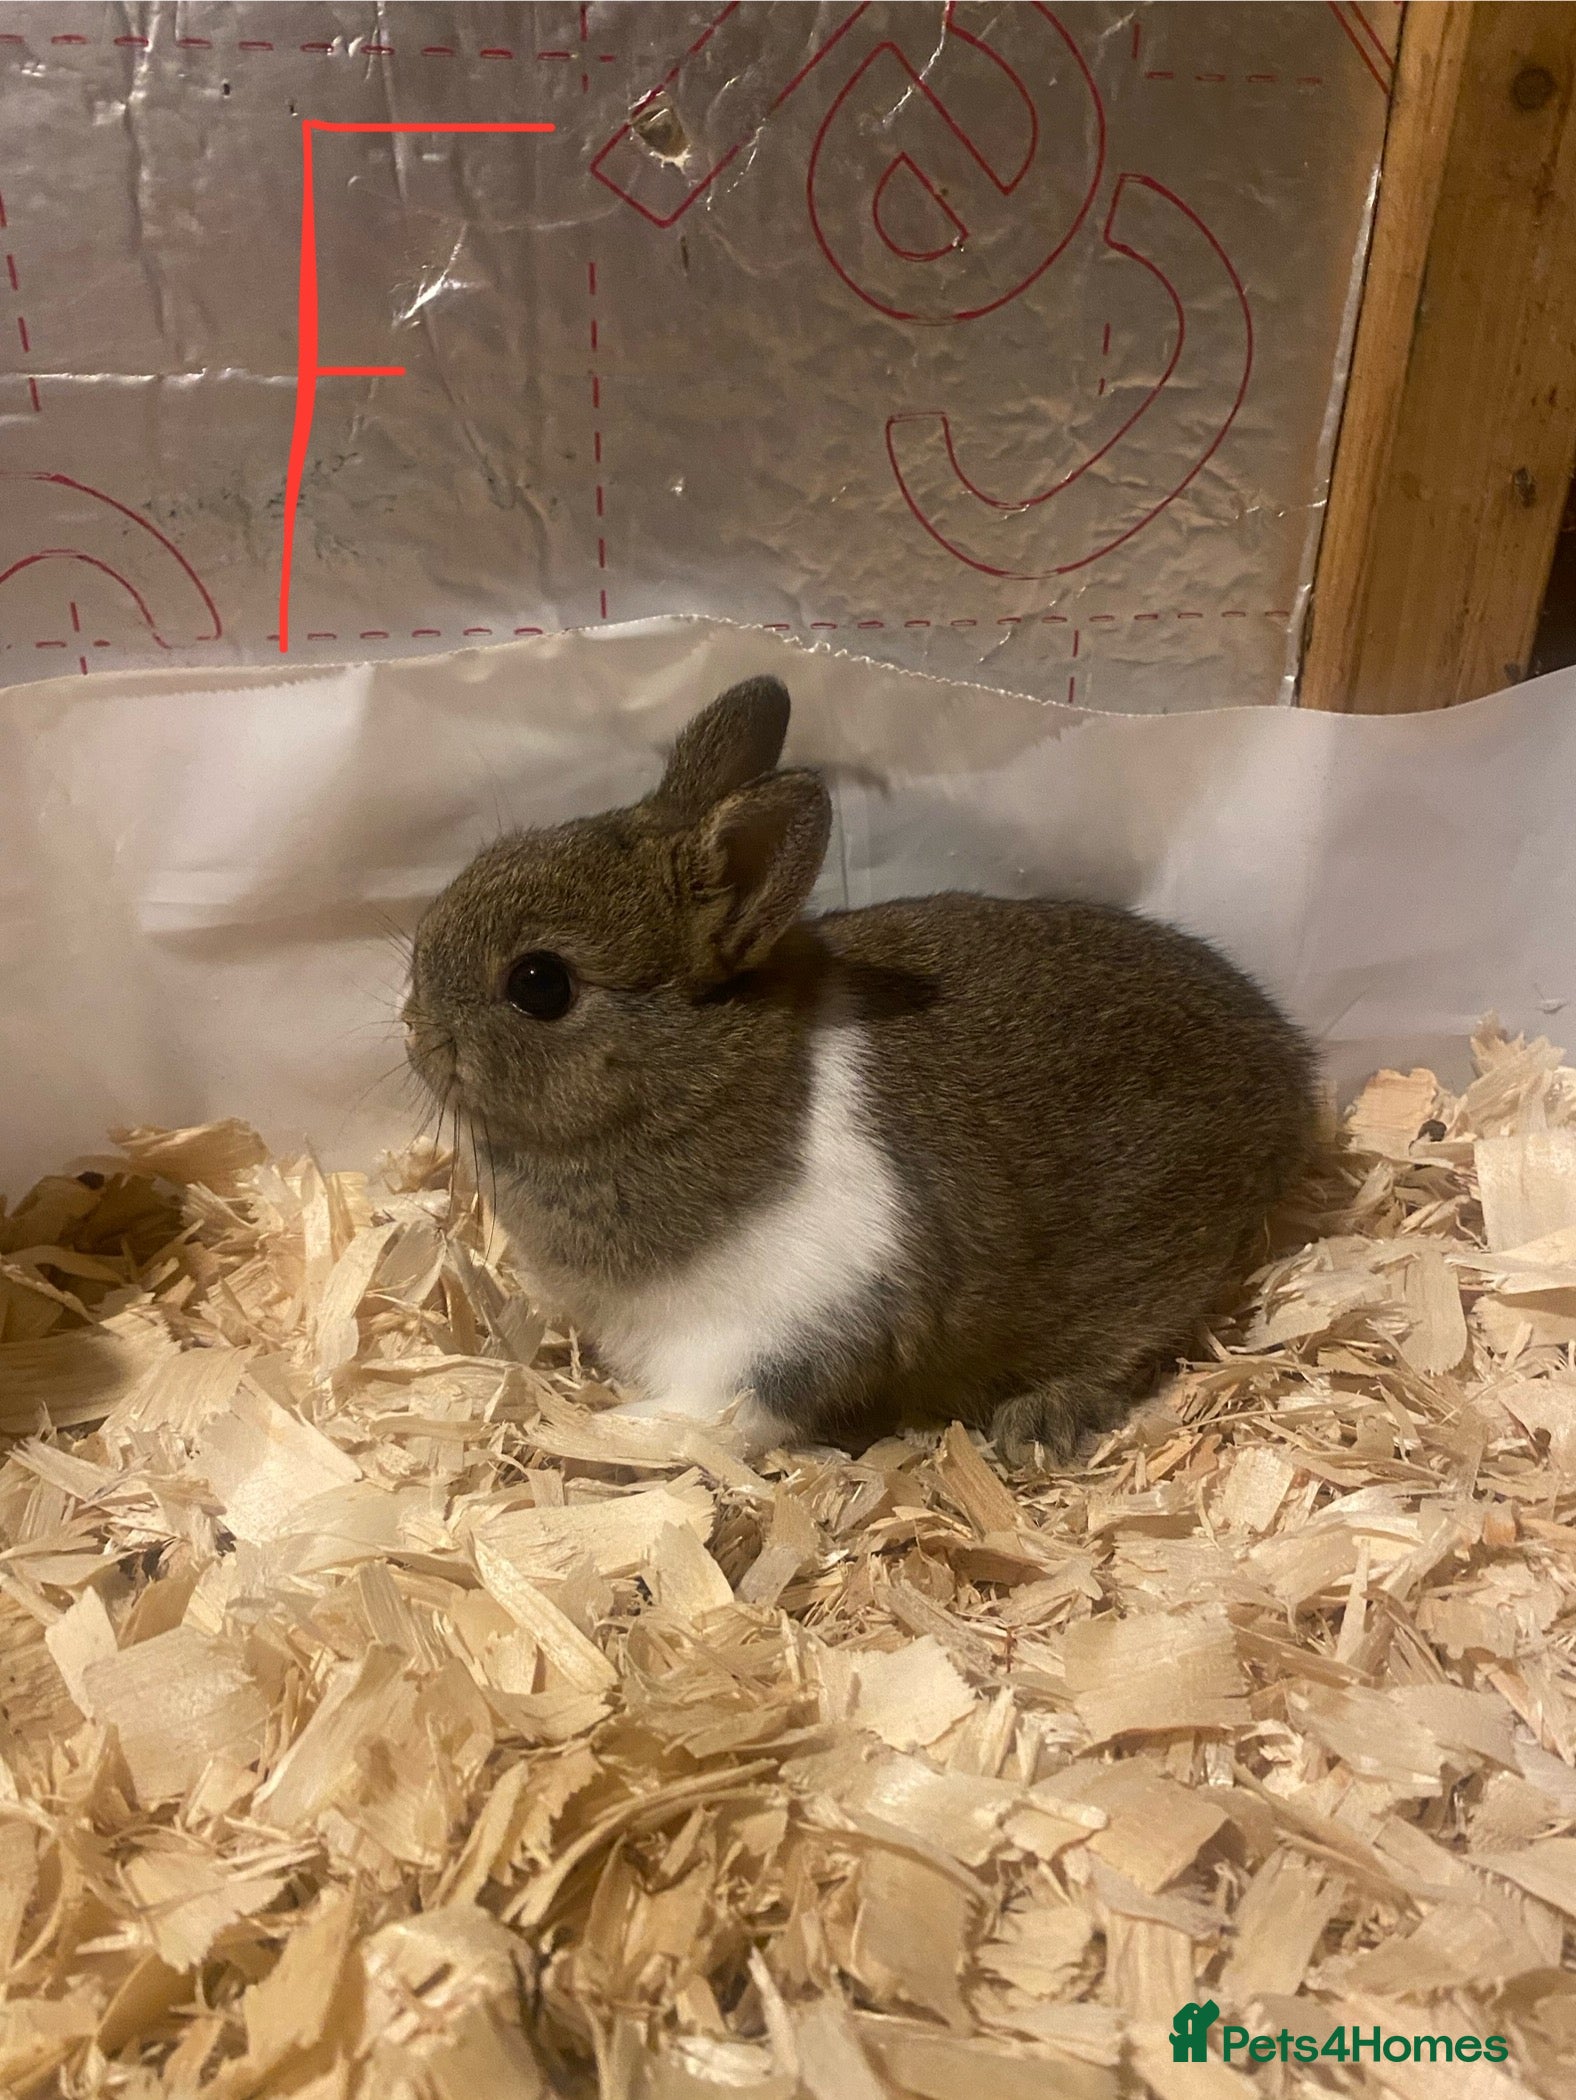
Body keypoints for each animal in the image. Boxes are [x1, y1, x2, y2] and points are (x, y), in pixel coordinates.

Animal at [404, 675, 1319, 1466]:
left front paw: (607, 1433)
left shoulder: (776, 1330)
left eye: (540, 984)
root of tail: (1290, 1068)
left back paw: (1039, 1420)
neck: (706, 1083)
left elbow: (718, 1415)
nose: (414, 1030)